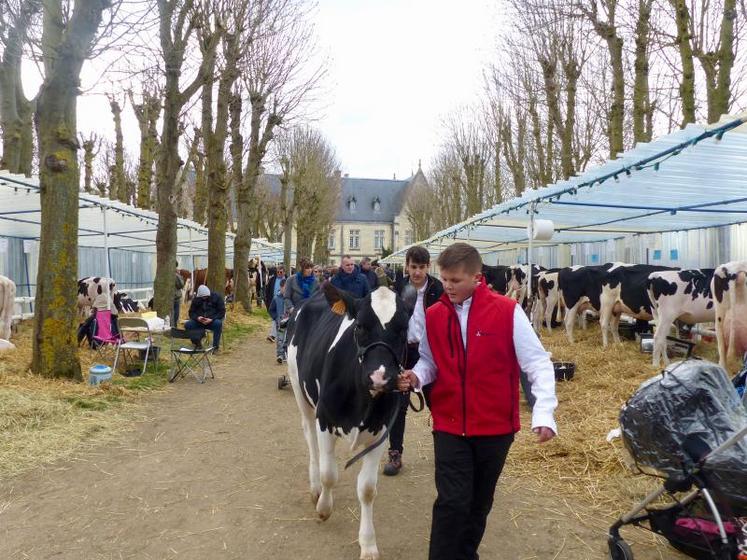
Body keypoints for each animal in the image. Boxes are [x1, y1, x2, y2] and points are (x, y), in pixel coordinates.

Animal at [286, 284, 414, 560]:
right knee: (310, 440)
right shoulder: (325, 420)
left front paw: (368, 544)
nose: (379, 377)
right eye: (360, 326)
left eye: (403, 329)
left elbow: (367, 489)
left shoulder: (381, 431)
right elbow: (329, 474)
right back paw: (315, 488)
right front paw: (324, 508)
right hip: (300, 390)